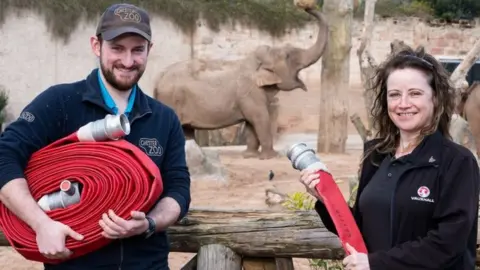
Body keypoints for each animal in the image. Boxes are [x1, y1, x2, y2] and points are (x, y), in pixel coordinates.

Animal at [152, 7, 328, 159]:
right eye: (288, 56)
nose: (306, 7)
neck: (256, 61)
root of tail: (158, 77)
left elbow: (250, 123)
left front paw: (250, 156)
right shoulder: (249, 93)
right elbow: (260, 118)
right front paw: (272, 156)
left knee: (187, 129)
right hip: (172, 100)